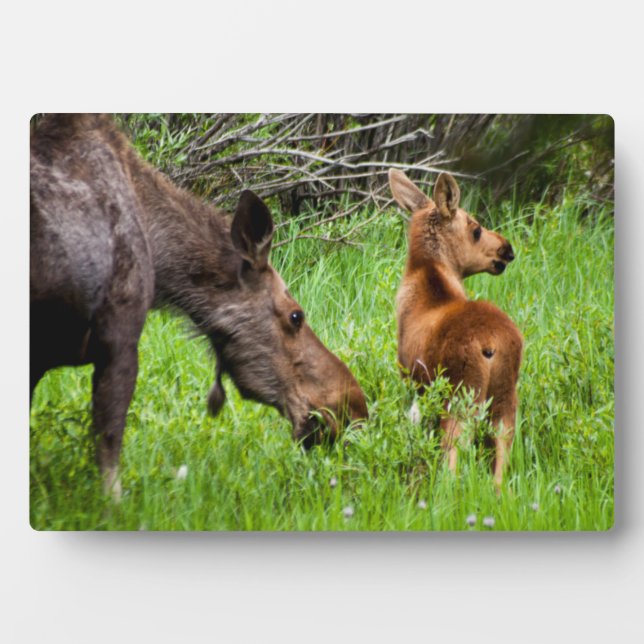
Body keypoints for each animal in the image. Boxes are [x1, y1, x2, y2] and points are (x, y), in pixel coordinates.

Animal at [388, 169, 523, 487]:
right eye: (476, 230)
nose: (507, 249)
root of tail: (491, 344)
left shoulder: (411, 379)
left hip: (461, 394)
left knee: (453, 453)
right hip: (504, 397)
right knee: (501, 455)